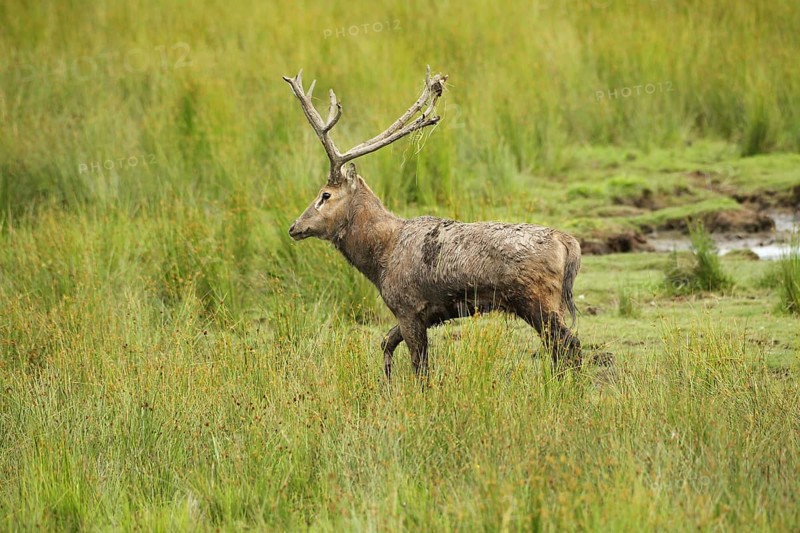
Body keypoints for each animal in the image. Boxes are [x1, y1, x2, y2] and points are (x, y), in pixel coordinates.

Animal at [283, 67, 583, 380]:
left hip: (537, 301)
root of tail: (568, 243)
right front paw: (386, 379)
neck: (380, 260)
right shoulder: (425, 314)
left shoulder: (407, 306)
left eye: (325, 195)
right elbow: (386, 342)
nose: (295, 227)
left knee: (569, 346)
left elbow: (420, 368)